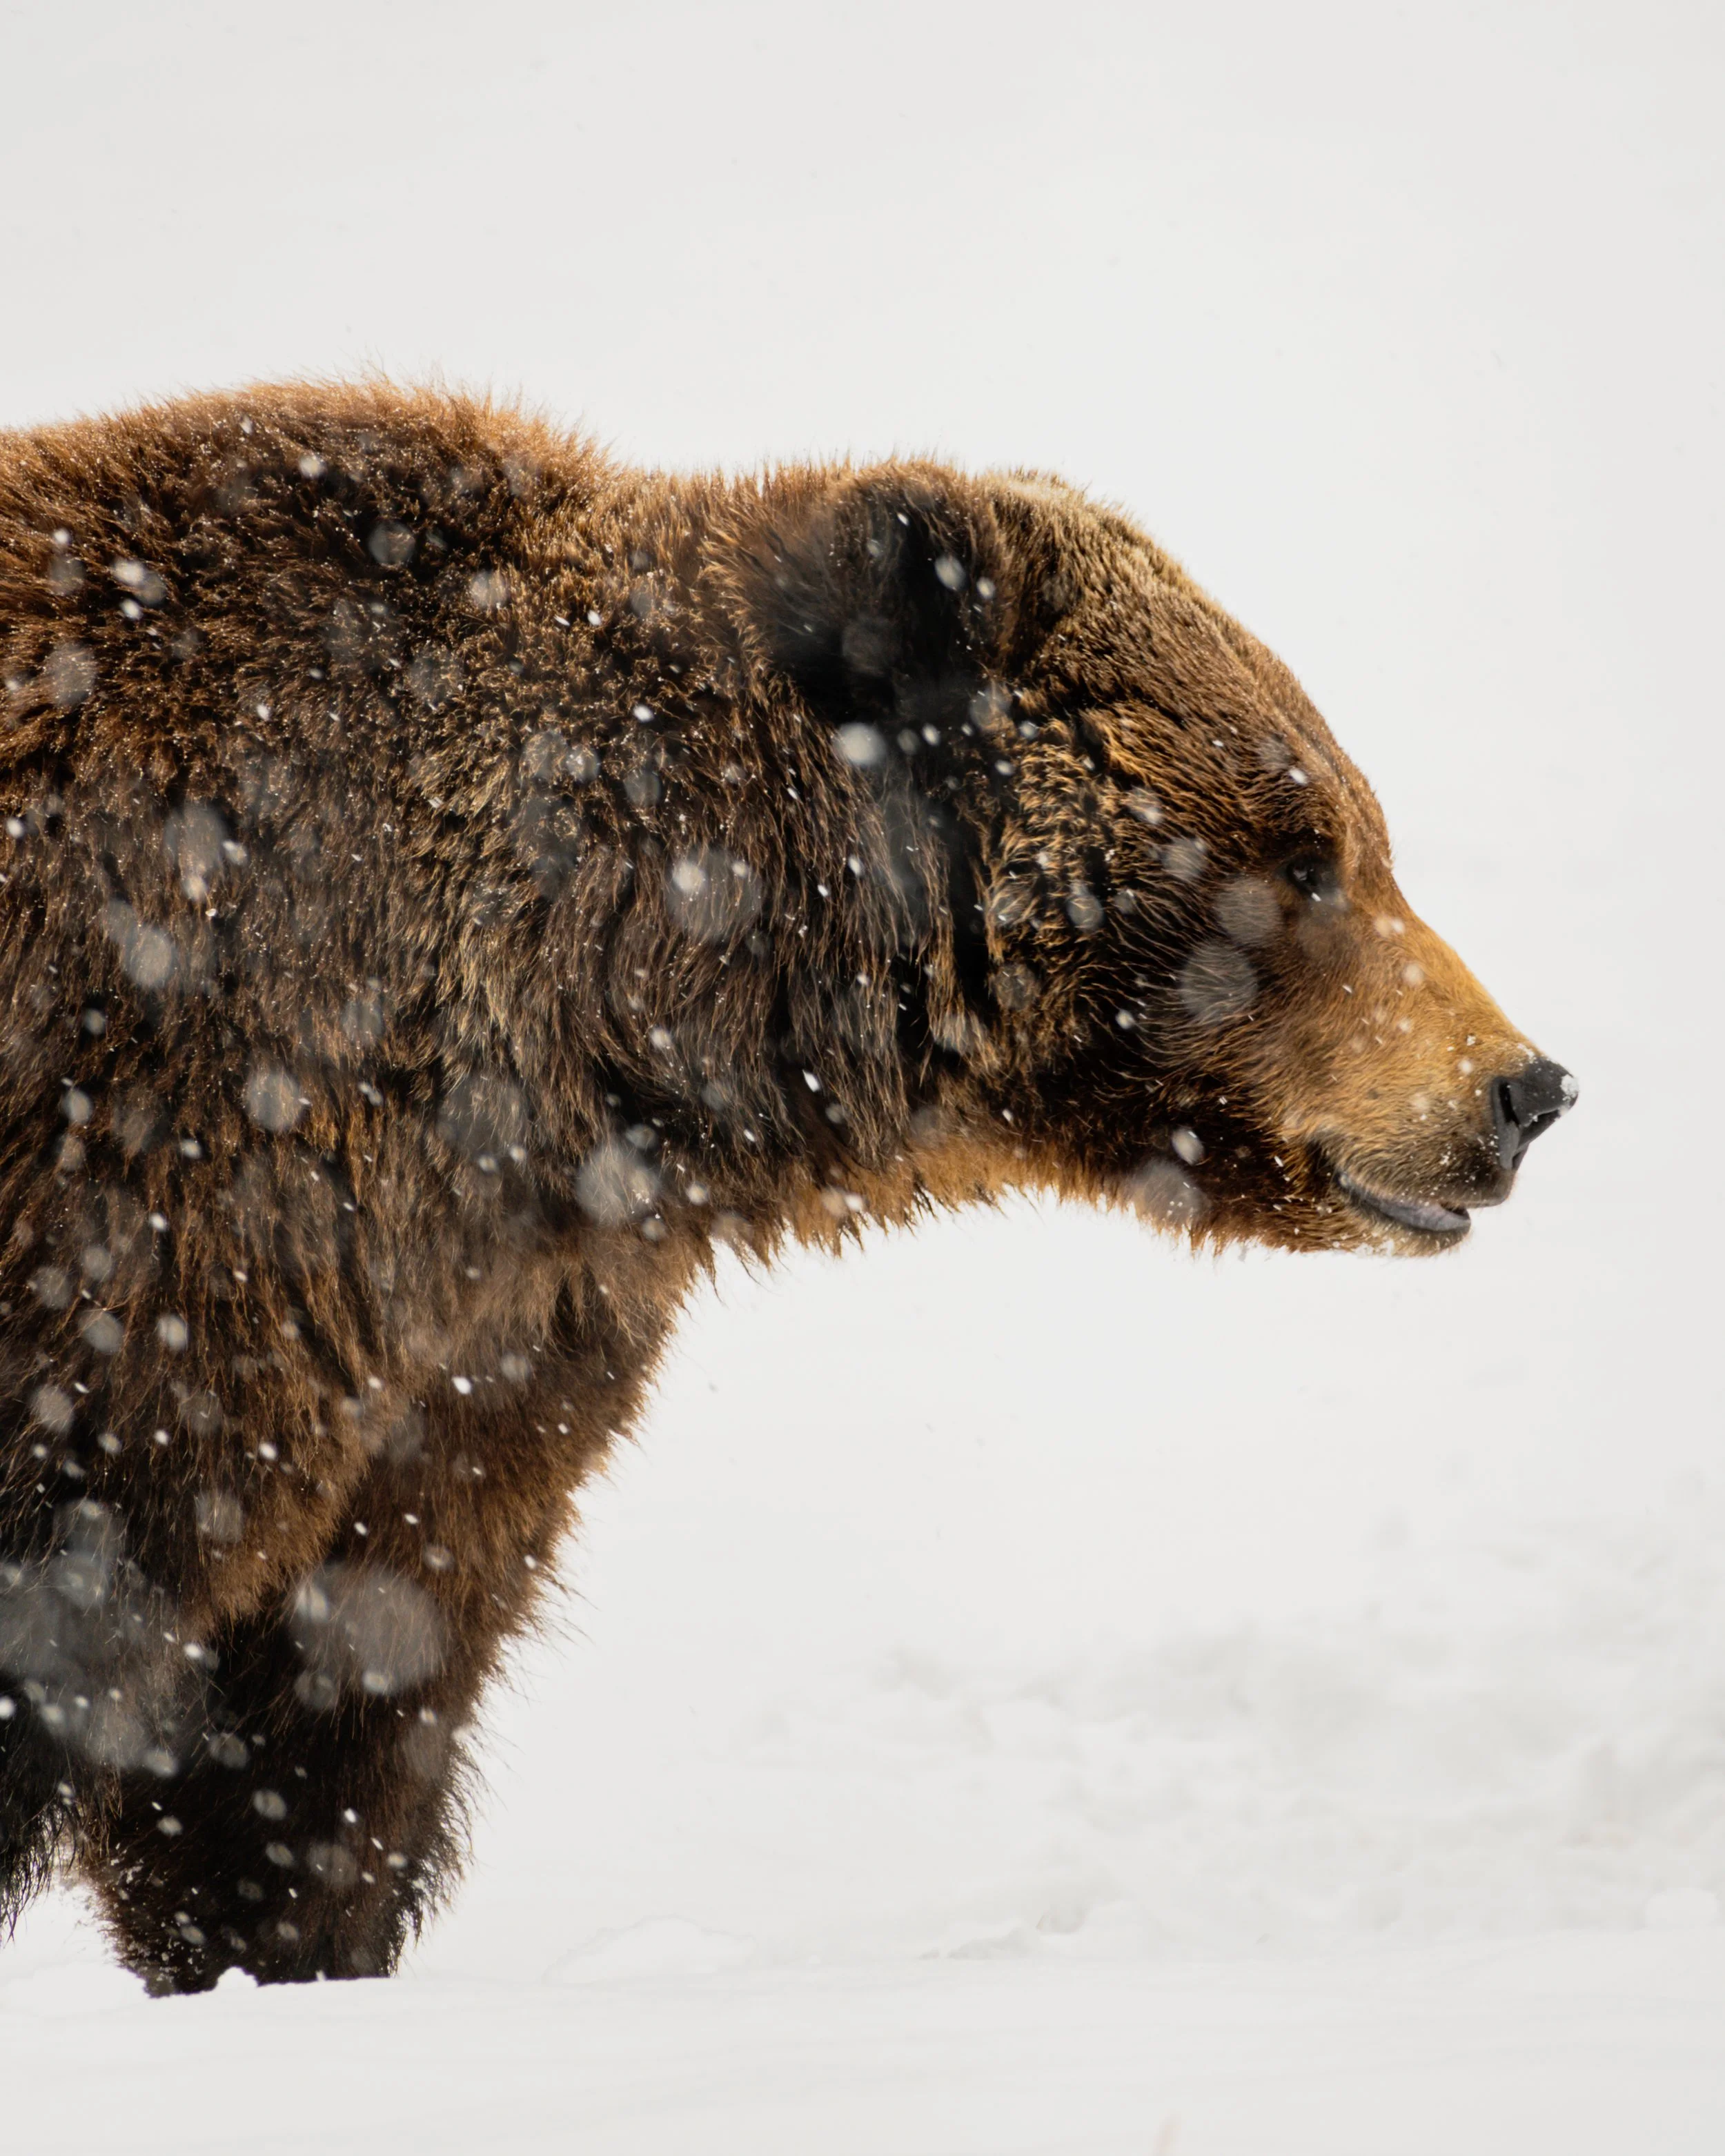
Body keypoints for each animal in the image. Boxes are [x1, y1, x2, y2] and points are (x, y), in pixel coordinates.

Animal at [0, 383, 1574, 1991]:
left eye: (1361, 834)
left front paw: (288, 1951)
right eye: (1302, 857)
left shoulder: (480, 1347)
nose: (1524, 1086)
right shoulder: (174, 1197)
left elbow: (335, 1696)